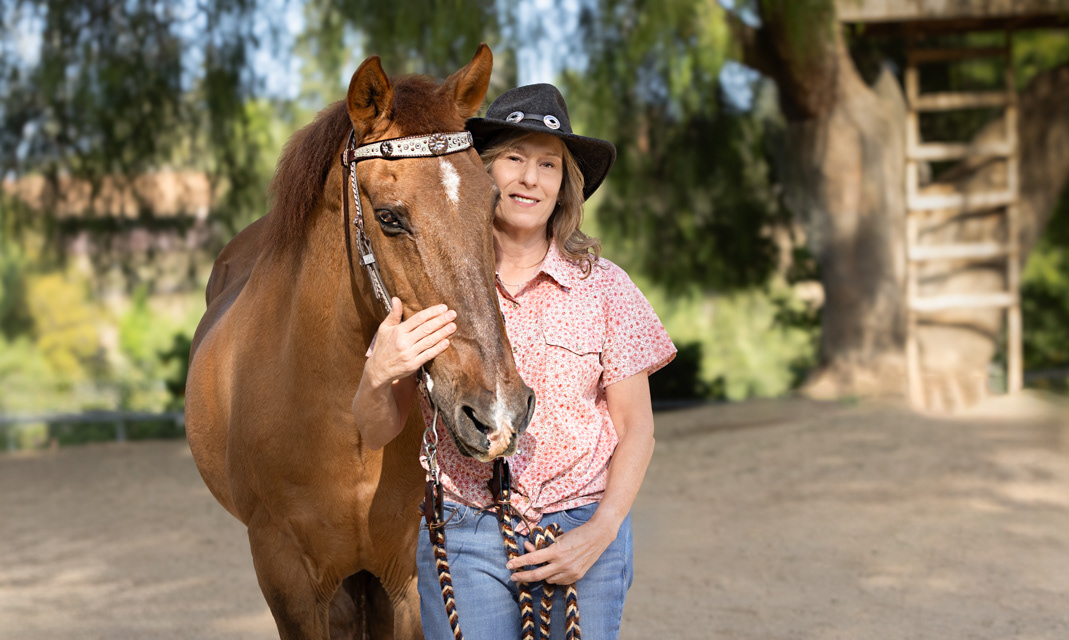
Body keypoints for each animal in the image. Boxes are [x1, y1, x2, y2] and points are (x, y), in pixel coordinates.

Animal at [184, 44, 535, 639]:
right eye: (390, 218)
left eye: (492, 205)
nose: (499, 412)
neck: (342, 416)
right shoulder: (285, 577)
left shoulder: (410, 577)